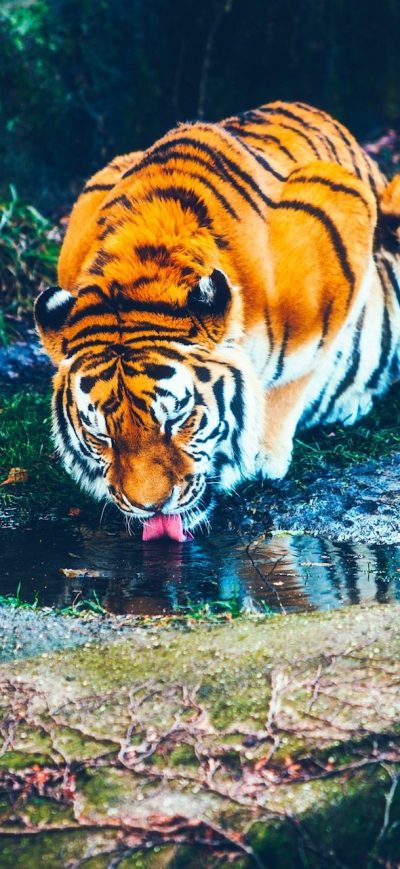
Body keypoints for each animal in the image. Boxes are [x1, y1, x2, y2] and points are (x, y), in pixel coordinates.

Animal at [34, 100, 400, 539]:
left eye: (176, 419)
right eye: (101, 434)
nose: (150, 506)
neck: (142, 264)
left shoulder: (342, 207)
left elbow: (298, 373)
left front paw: (263, 452)